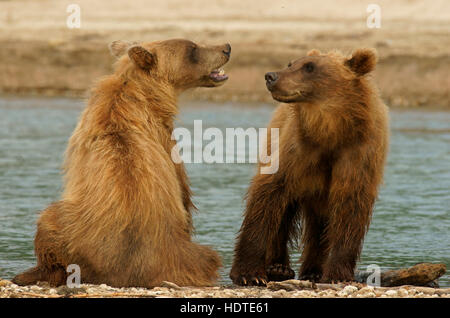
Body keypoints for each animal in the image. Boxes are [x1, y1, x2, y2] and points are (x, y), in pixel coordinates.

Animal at [230, 47, 388, 286]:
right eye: (291, 63)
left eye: (310, 67)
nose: (270, 76)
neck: (330, 132)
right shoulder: (297, 151)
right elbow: (268, 197)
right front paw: (249, 274)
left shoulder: (357, 154)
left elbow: (350, 208)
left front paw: (337, 275)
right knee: (284, 215)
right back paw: (279, 267)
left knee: (319, 224)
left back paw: (313, 270)